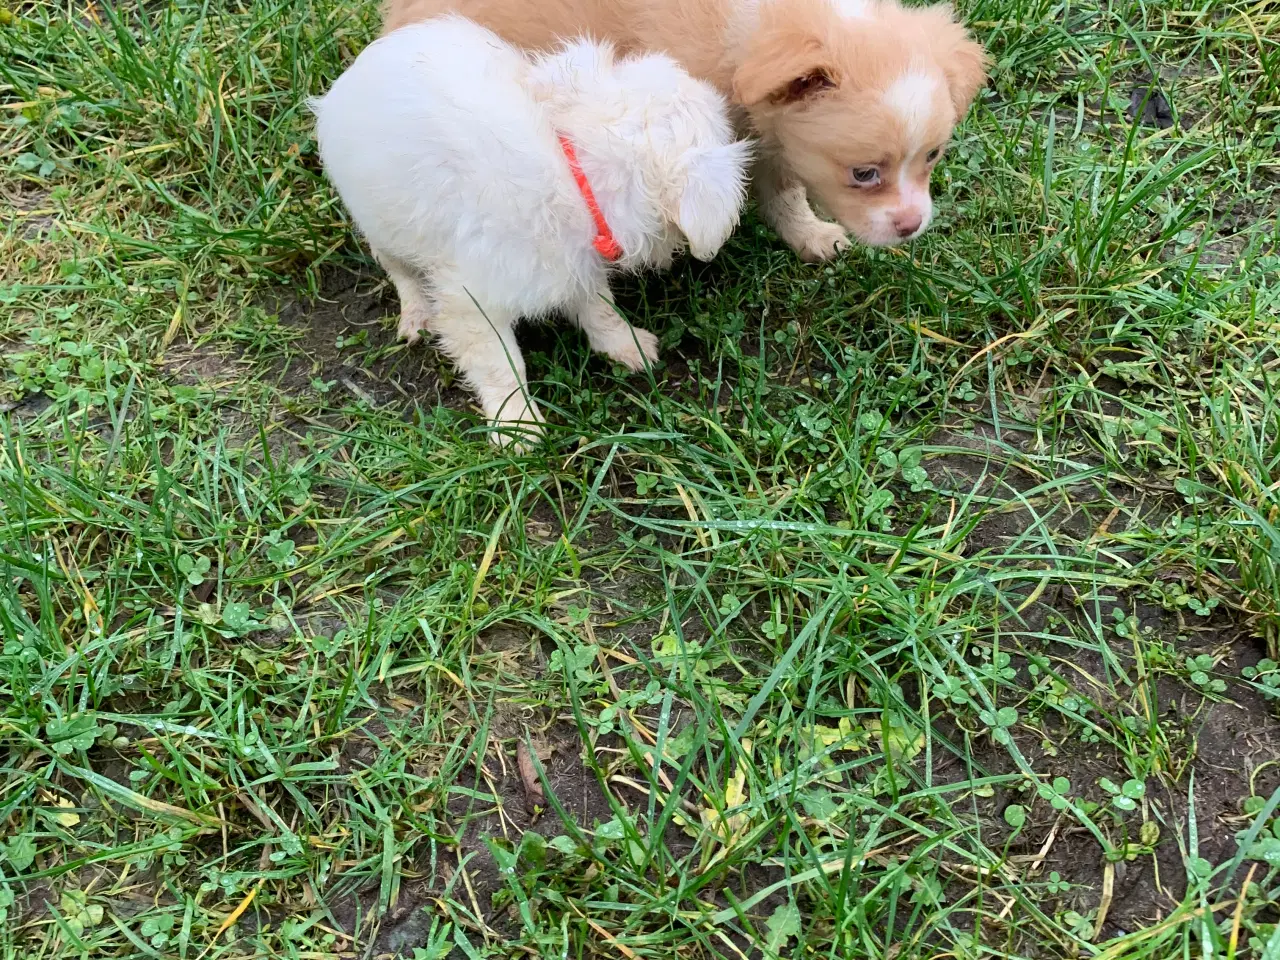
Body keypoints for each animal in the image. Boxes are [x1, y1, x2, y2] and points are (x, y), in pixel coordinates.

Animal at [309, 17, 747, 448]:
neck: (577, 174)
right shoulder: (472, 303)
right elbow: (502, 364)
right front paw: (517, 424)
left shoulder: (579, 264)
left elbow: (600, 308)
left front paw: (626, 344)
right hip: (380, 221)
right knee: (400, 271)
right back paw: (417, 314)